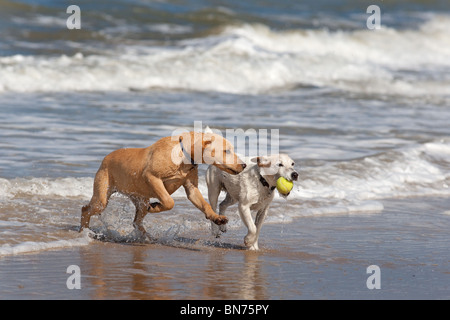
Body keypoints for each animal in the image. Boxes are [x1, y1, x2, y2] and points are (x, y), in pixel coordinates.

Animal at [79, 130, 244, 238]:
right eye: (227, 151)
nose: (244, 165)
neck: (183, 154)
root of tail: (105, 158)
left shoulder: (191, 188)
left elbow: (205, 205)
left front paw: (217, 218)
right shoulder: (152, 177)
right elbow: (169, 201)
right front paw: (156, 206)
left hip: (140, 198)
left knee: (137, 221)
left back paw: (147, 237)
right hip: (102, 196)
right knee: (86, 209)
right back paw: (84, 231)